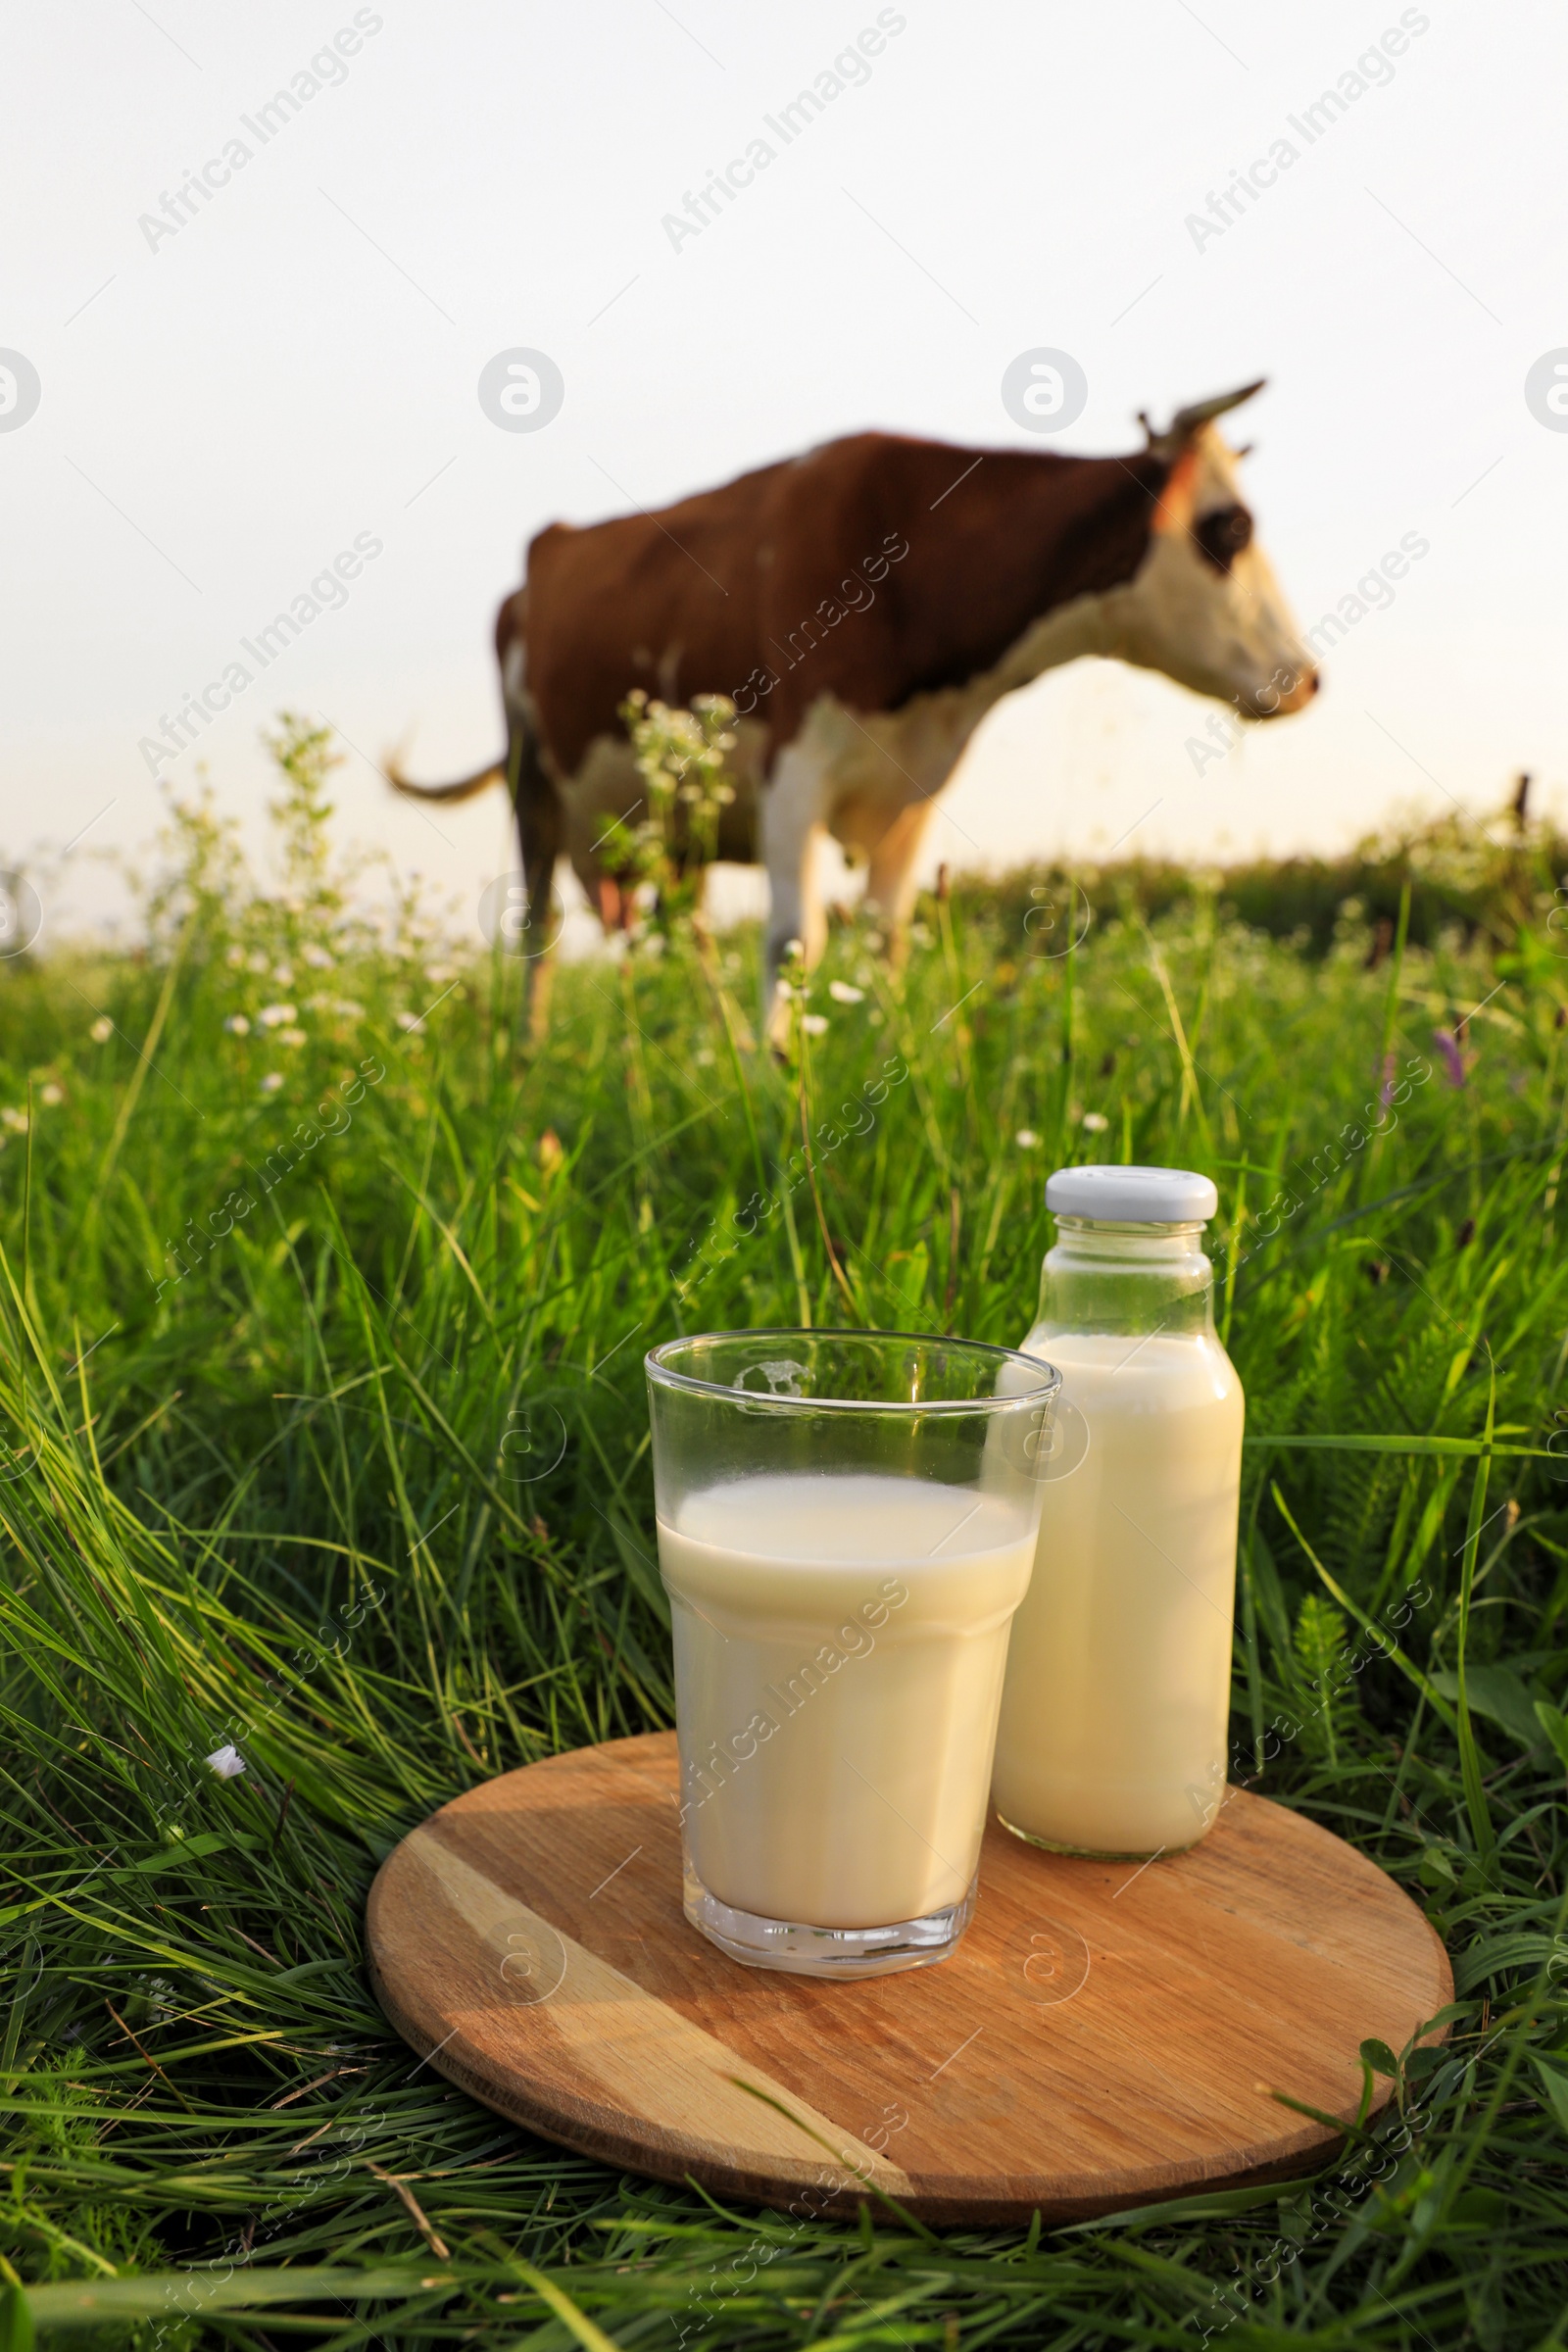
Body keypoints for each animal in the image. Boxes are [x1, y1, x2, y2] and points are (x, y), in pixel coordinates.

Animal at [390, 383, 1316, 1002]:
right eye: (1230, 527)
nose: (1308, 677)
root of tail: (543, 552)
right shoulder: (793, 772)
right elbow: (793, 941)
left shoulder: (911, 792)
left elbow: (884, 940)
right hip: (534, 787)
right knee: (538, 934)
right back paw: (531, 1068)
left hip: (669, 827)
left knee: (676, 933)